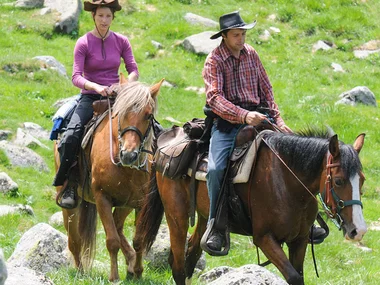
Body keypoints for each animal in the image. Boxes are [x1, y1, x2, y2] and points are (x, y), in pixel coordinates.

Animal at [53, 76, 163, 280]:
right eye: (121, 113)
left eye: (148, 115)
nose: (129, 154)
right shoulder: (102, 197)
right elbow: (112, 240)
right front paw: (114, 277)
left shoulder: (140, 203)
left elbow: (138, 239)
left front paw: (137, 272)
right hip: (69, 201)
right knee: (75, 239)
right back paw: (80, 271)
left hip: (125, 204)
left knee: (118, 227)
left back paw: (130, 263)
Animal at [134, 126, 368, 284]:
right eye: (339, 181)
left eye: (362, 180)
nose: (358, 230)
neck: (286, 183)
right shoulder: (264, 238)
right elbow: (293, 277)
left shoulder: (300, 240)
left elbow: (299, 275)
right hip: (177, 216)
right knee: (179, 267)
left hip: (204, 217)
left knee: (191, 255)